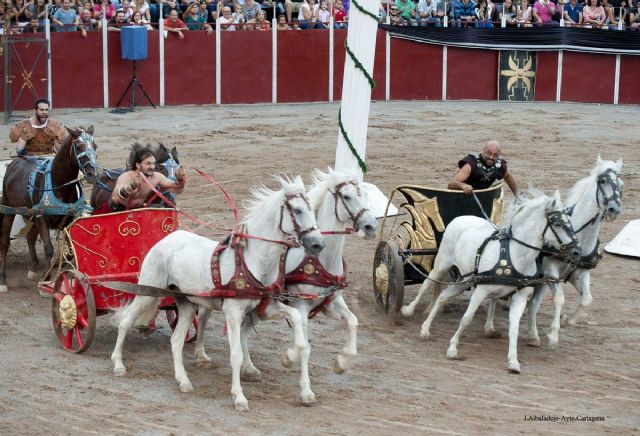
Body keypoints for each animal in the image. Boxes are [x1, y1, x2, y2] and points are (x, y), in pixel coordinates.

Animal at [0, 124, 99, 292]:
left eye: (95, 146)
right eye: (79, 147)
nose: (93, 174)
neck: (59, 185)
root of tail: (15, 162)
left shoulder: (68, 219)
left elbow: (68, 250)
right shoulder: (41, 218)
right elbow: (49, 249)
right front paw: (46, 278)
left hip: (29, 213)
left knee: (30, 237)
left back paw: (33, 268)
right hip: (9, 210)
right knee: (5, 243)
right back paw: (3, 280)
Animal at [109, 175, 324, 410]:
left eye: (312, 209)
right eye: (297, 210)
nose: (318, 243)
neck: (254, 260)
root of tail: (166, 239)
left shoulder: (266, 306)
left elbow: (297, 323)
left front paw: (302, 382)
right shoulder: (233, 313)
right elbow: (236, 354)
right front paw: (239, 397)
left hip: (186, 303)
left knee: (176, 340)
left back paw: (183, 381)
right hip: (147, 292)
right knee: (126, 322)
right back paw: (118, 364)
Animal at [192, 169, 378, 406]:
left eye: (365, 194)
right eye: (347, 196)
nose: (371, 226)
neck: (321, 259)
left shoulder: (332, 302)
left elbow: (353, 322)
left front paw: (342, 362)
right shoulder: (301, 305)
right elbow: (305, 347)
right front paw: (302, 382)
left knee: (243, 330)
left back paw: (249, 368)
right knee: (204, 314)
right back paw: (201, 353)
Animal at [402, 189, 576, 372]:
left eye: (570, 221)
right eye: (557, 223)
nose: (576, 250)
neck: (515, 255)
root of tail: (460, 217)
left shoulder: (519, 298)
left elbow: (514, 328)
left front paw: (513, 361)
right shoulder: (481, 291)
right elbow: (467, 318)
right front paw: (453, 348)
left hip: (465, 281)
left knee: (442, 296)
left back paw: (425, 328)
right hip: (442, 265)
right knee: (426, 285)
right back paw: (410, 311)